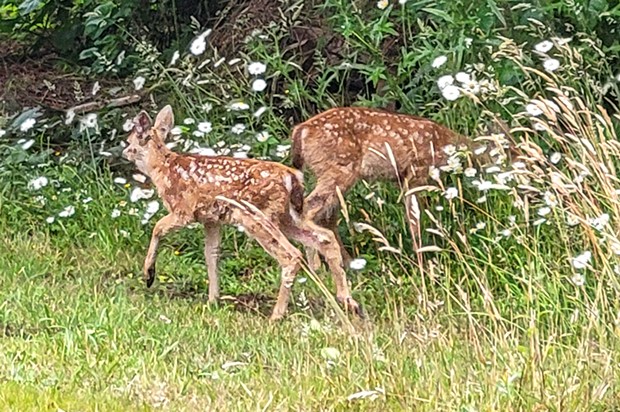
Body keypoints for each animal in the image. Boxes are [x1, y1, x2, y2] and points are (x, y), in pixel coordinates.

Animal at [122, 104, 364, 320]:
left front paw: (148, 274)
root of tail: (292, 178)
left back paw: (277, 315)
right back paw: (349, 302)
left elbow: (157, 227)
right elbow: (211, 254)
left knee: (292, 255)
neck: (163, 169)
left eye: (130, 141)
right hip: (287, 216)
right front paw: (213, 300)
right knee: (325, 237)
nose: (124, 152)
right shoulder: (211, 219)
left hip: (256, 216)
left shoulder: (184, 210)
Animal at [290, 106, 520, 268]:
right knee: (309, 210)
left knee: (327, 216)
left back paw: (347, 264)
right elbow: (414, 219)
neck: (445, 145)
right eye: (513, 153)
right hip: (339, 169)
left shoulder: (403, 178)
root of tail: (300, 131)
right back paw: (317, 268)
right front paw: (422, 263)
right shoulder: (416, 173)